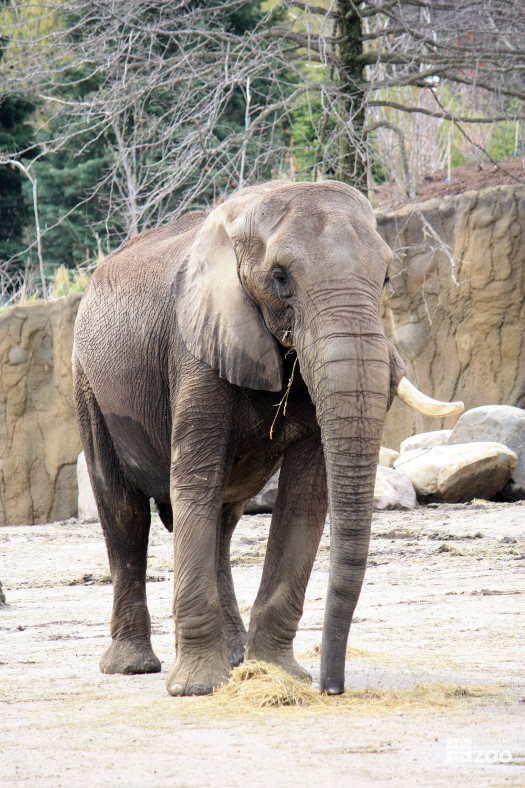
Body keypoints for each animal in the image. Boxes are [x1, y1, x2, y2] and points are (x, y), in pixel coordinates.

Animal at [71, 180, 460, 696]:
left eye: (385, 279)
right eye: (279, 278)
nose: (331, 687)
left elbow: (305, 496)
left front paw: (277, 674)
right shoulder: (195, 346)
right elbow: (195, 480)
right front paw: (196, 688)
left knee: (222, 518)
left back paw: (235, 656)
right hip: (87, 383)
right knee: (124, 511)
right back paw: (133, 666)